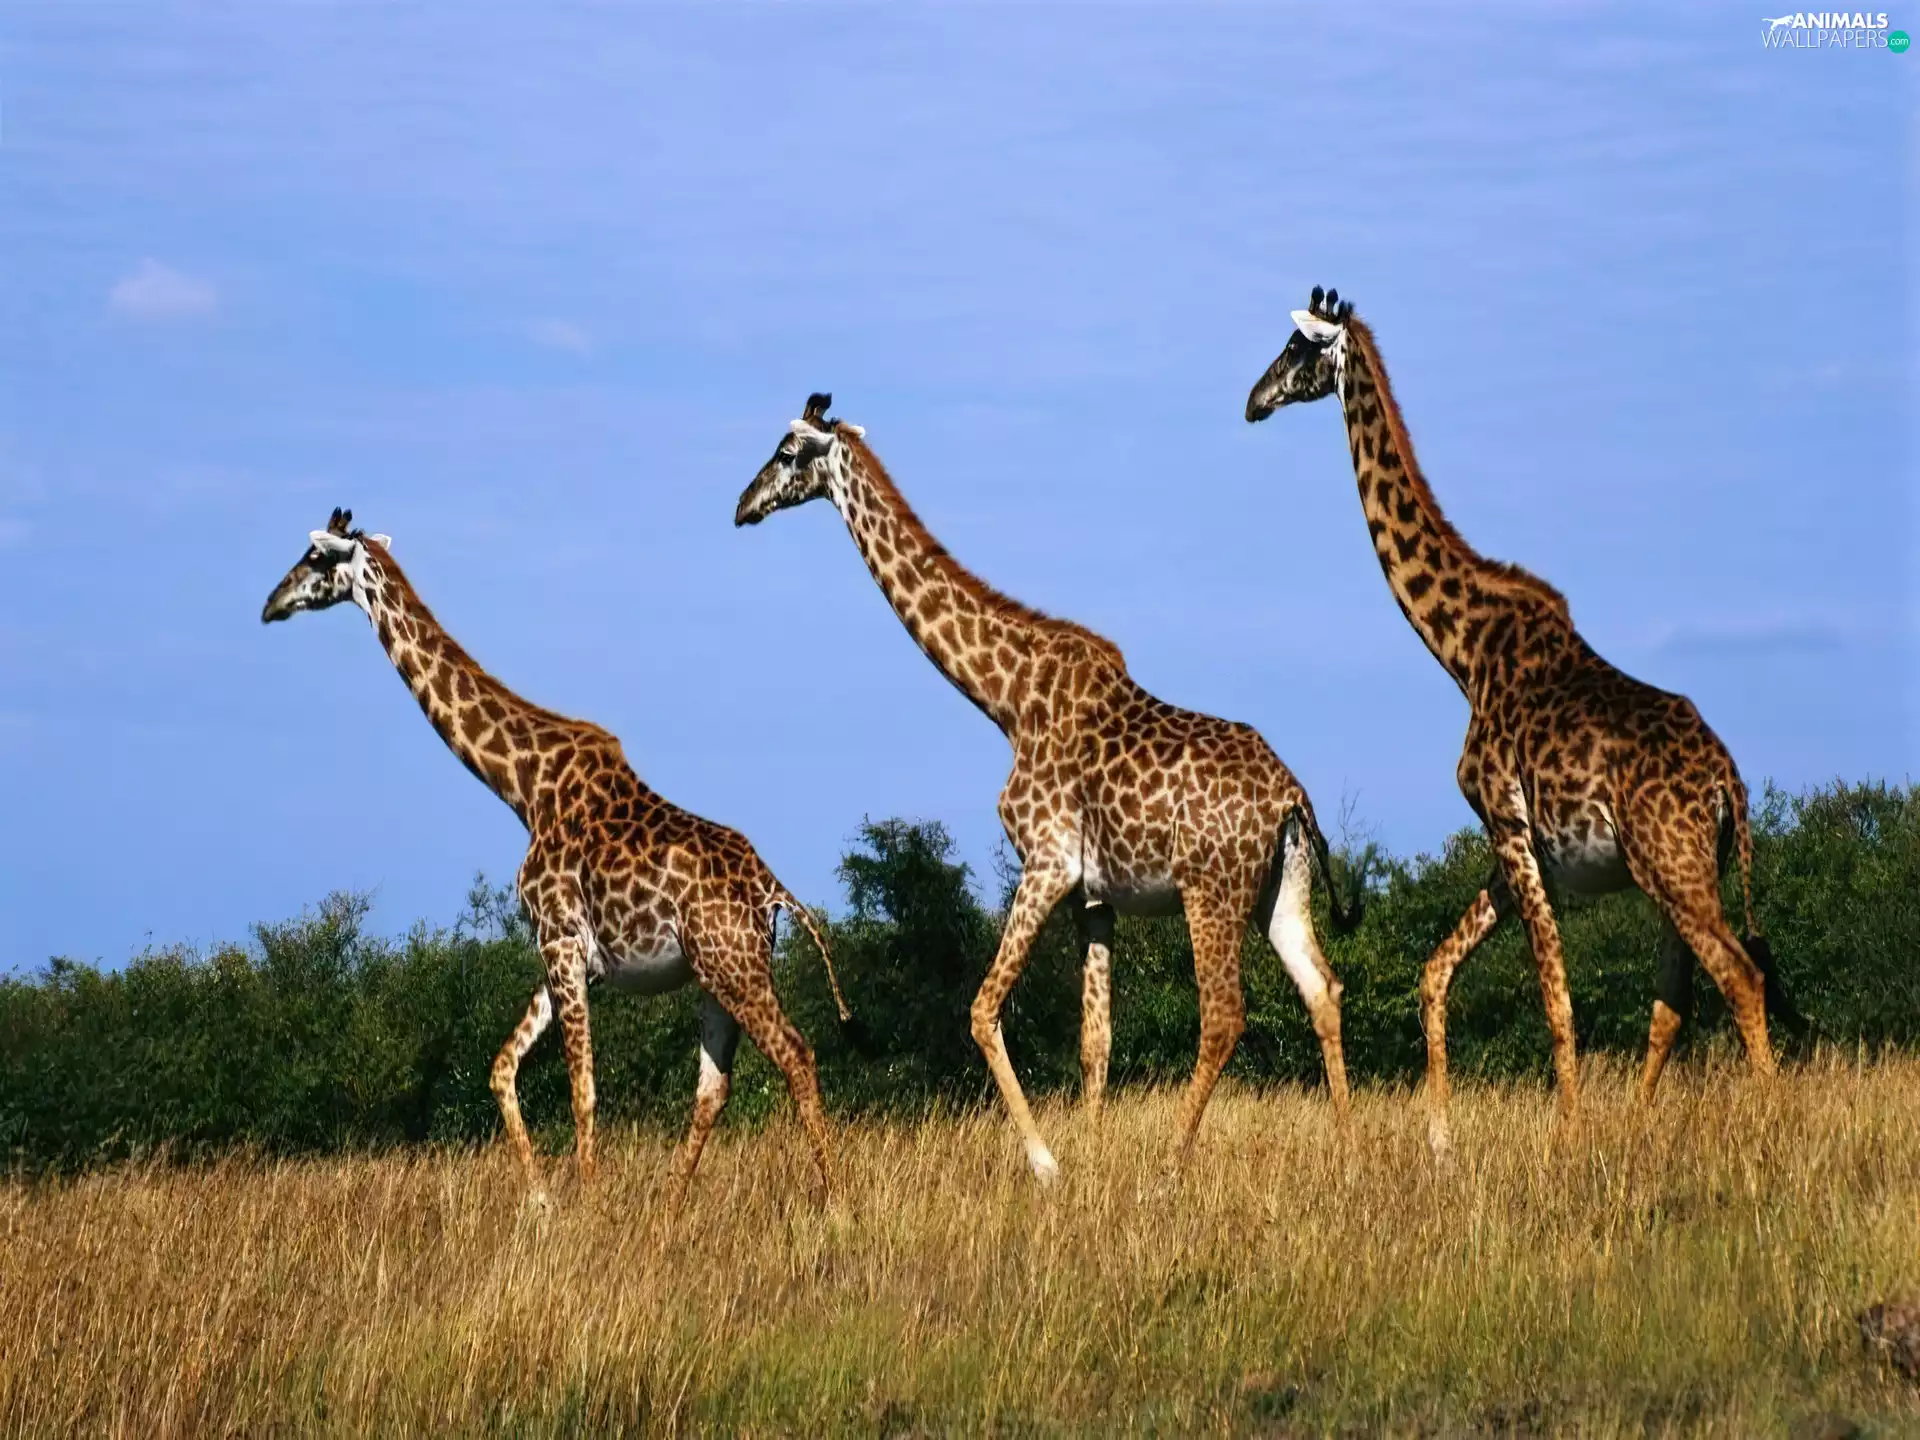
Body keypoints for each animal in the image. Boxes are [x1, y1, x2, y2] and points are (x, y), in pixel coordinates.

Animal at [261, 507, 852, 1198]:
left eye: (315, 559)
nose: (271, 604)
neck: (522, 787)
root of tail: (772, 889)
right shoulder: (563, 952)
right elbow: (501, 1068)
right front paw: (543, 1197)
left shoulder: (561, 939)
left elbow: (582, 1090)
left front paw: (586, 1201)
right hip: (715, 973)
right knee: (713, 1087)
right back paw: (669, 1209)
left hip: (735, 966)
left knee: (797, 1055)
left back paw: (836, 1203)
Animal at [734, 394, 1361, 1184]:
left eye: (787, 452)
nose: (742, 506)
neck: (1006, 699)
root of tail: (1291, 798)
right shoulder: (1092, 896)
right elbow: (1095, 1041)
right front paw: (1088, 1164)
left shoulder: (1046, 863)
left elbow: (980, 1010)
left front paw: (1047, 1163)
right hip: (1281, 886)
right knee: (1324, 991)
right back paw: (1350, 1152)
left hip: (1210, 889)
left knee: (1224, 1014)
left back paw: (1170, 1165)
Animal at [1245, 288, 1805, 1154]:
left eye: (1297, 349)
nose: (1252, 400)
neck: (1465, 652)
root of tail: (1730, 786)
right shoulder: (1516, 845)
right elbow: (1434, 972)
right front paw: (1440, 1137)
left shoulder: (1507, 823)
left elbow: (1554, 993)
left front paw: (1568, 1133)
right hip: (1678, 871)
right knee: (1675, 999)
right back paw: (1638, 1125)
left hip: (1672, 866)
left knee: (1740, 975)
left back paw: (1768, 1124)